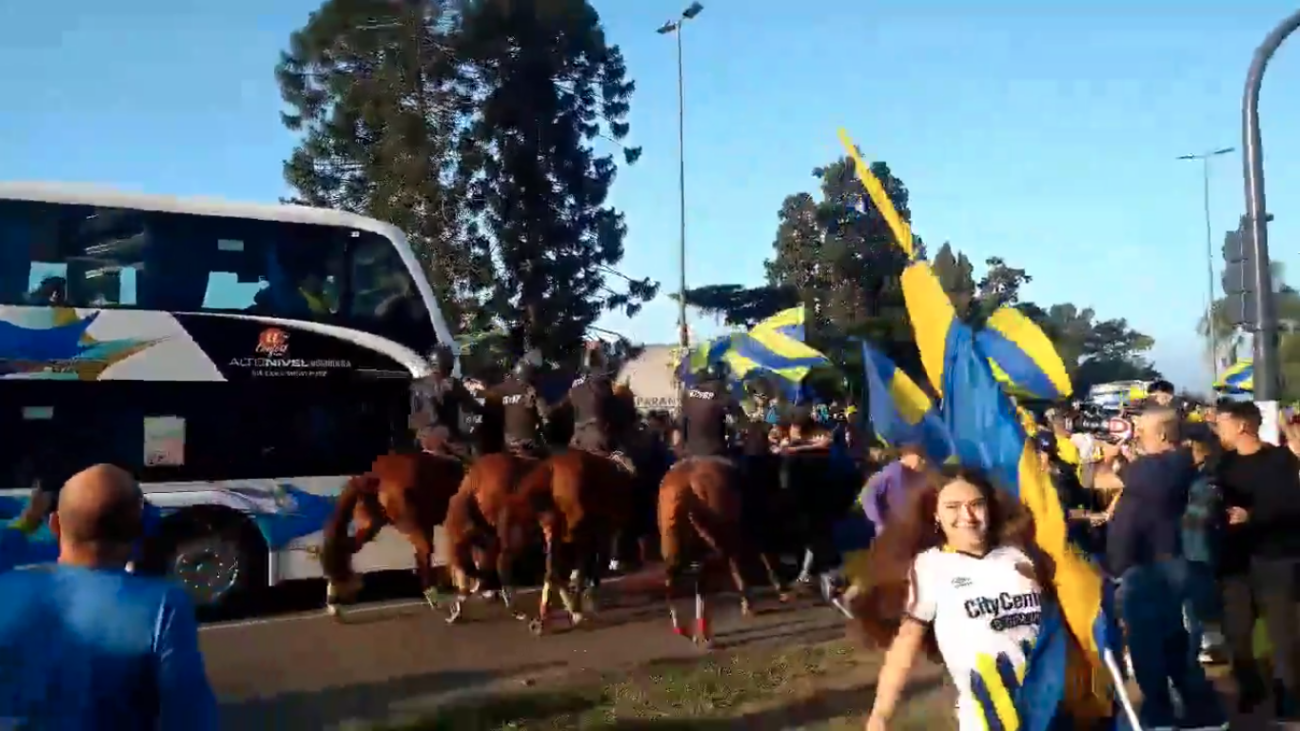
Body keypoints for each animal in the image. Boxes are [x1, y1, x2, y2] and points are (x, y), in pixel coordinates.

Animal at [321, 450, 467, 613]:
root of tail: (375, 475)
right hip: (413, 524)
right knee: (423, 555)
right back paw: (434, 596)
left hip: (372, 524)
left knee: (347, 545)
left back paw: (333, 601)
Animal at [660, 452, 780, 645]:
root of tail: (685, 483)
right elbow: (759, 554)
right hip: (718, 537)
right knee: (708, 572)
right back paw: (704, 631)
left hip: (673, 540)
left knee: (674, 580)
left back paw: (685, 630)